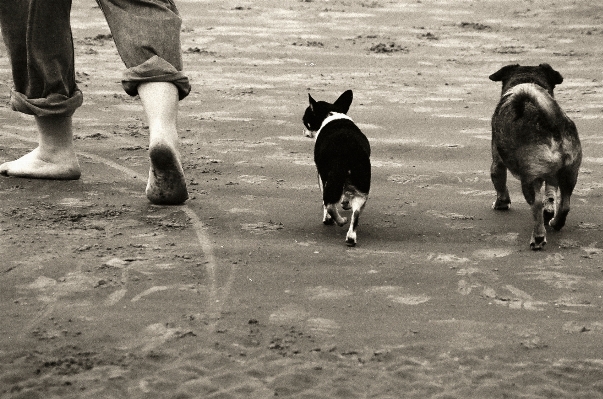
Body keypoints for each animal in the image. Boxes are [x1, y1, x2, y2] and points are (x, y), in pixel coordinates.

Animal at [304, 90, 370, 247]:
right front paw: (345, 202)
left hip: (330, 179)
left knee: (329, 204)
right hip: (362, 186)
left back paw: (338, 221)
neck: (331, 114)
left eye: (305, 120)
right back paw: (350, 237)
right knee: (356, 214)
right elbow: (345, 192)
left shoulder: (321, 176)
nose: (304, 131)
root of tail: (347, 152)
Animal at [488, 63, 584, 250]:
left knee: (537, 205)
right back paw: (555, 223)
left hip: (529, 180)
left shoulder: (497, 161)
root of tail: (552, 123)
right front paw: (550, 212)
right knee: (565, 203)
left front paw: (501, 203)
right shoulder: (552, 178)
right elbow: (551, 195)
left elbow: (499, 183)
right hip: (569, 175)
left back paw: (538, 238)